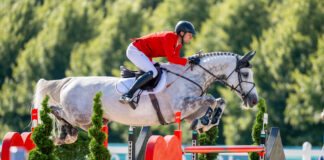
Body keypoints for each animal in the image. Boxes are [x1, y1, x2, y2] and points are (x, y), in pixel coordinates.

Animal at [33, 50, 260, 145]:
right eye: (245, 74)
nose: (254, 101)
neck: (192, 76)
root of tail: (69, 80)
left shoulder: (189, 112)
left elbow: (218, 102)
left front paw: (206, 122)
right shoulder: (181, 106)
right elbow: (212, 99)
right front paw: (206, 120)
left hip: (93, 121)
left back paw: (64, 136)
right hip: (81, 117)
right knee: (57, 112)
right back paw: (64, 134)